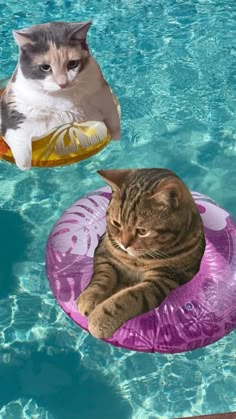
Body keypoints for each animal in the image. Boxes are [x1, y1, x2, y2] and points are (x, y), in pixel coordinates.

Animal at [0, 21, 121, 171]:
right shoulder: (14, 115)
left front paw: (116, 140)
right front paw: (25, 167)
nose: (63, 83)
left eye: (73, 64)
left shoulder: (104, 95)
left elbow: (114, 125)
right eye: (45, 67)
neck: (62, 97)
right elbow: (23, 155)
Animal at [77, 169, 205, 340]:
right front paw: (90, 297)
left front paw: (101, 317)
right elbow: (102, 277)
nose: (124, 244)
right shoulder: (104, 254)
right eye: (116, 224)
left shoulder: (163, 279)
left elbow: (129, 297)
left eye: (142, 231)